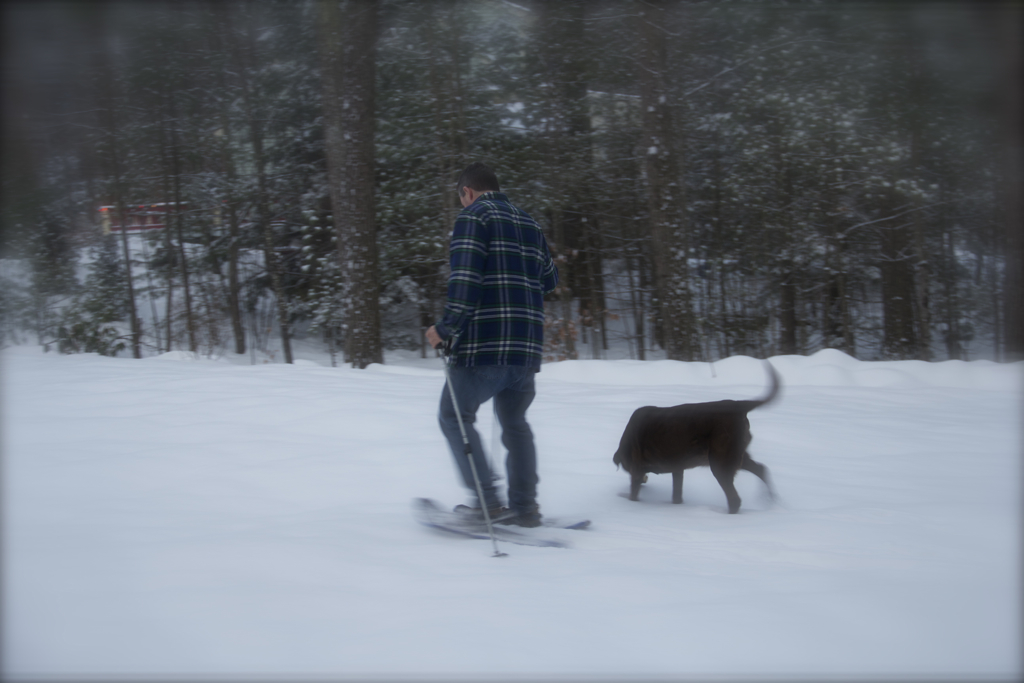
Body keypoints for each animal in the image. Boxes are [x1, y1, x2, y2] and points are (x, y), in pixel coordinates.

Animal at [610, 362, 778, 511]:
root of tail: (739, 406)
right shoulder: (677, 468)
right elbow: (677, 494)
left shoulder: (637, 468)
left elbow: (634, 492)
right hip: (737, 455)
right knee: (761, 469)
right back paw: (772, 501)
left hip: (720, 461)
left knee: (735, 499)